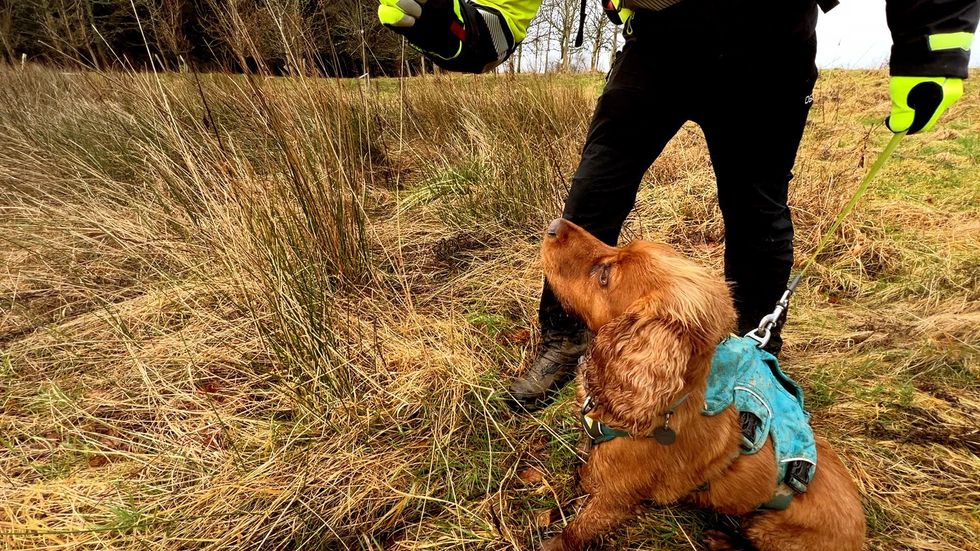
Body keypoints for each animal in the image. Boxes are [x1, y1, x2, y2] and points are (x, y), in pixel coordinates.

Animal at [536, 220, 864, 551]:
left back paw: (723, 539)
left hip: (767, 528)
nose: (554, 225)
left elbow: (578, 529)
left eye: (604, 275)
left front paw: (555, 543)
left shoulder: (616, 498)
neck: (661, 408)